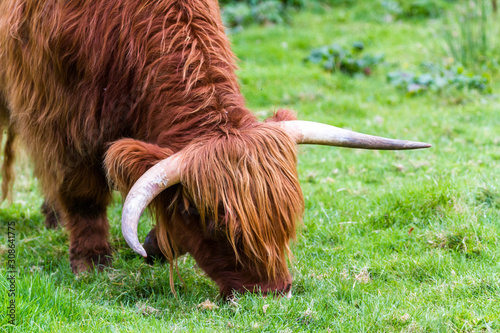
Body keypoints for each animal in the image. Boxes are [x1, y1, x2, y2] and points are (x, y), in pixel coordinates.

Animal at [0, 0, 430, 296]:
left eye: (288, 217)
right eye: (214, 222)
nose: (273, 291)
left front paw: (156, 243)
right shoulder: (57, 114)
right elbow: (81, 189)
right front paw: (91, 262)